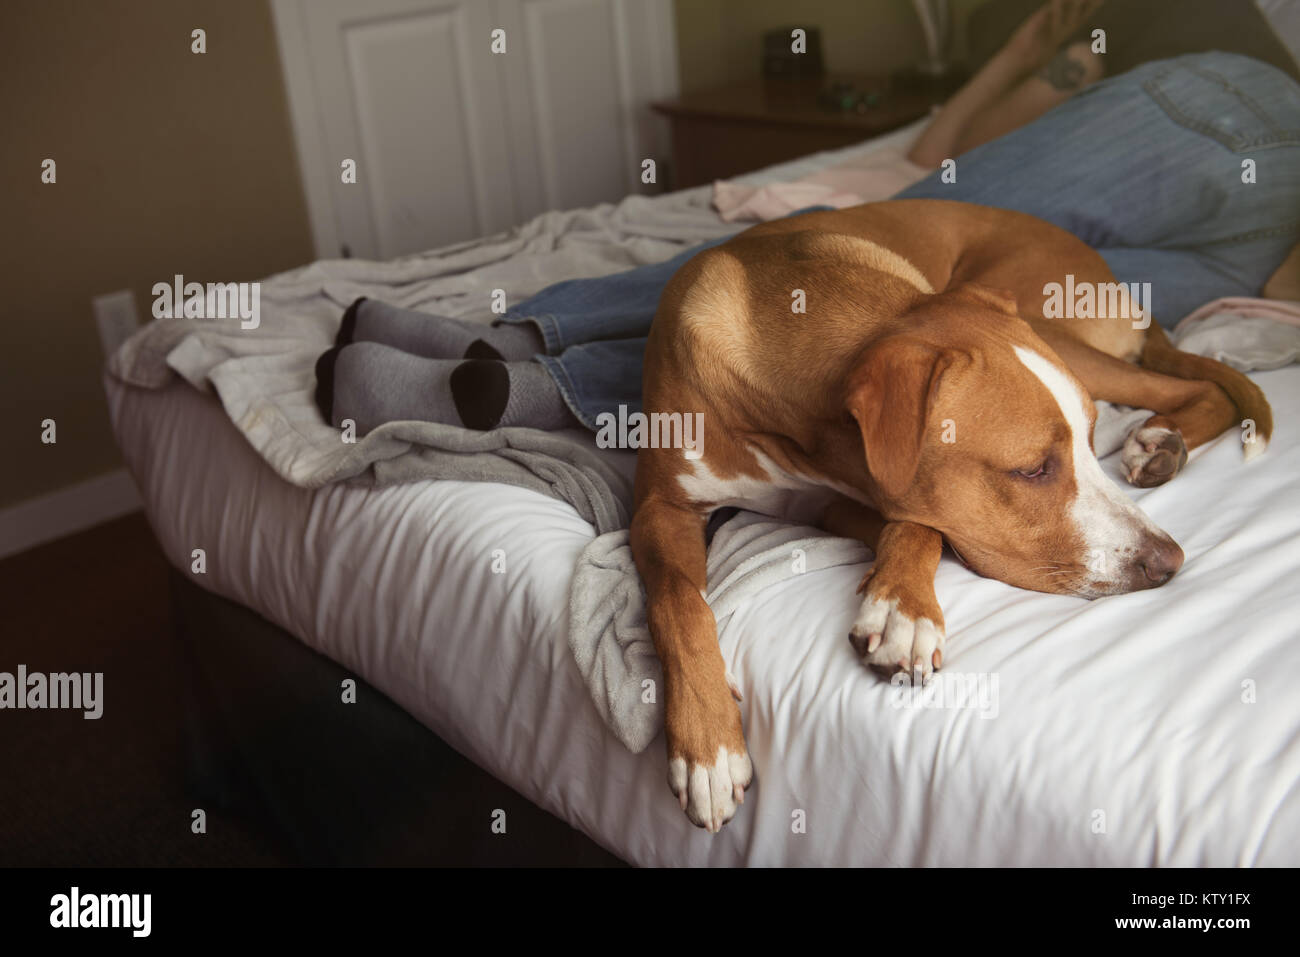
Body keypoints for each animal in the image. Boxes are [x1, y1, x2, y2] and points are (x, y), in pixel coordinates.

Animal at [629, 196, 1268, 832]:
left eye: (1090, 440)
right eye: (1032, 469)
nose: (1171, 561)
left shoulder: (856, 497)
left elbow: (921, 530)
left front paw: (902, 611)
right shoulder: (661, 510)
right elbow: (677, 600)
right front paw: (707, 746)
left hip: (1056, 326)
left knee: (1192, 387)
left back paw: (1159, 442)